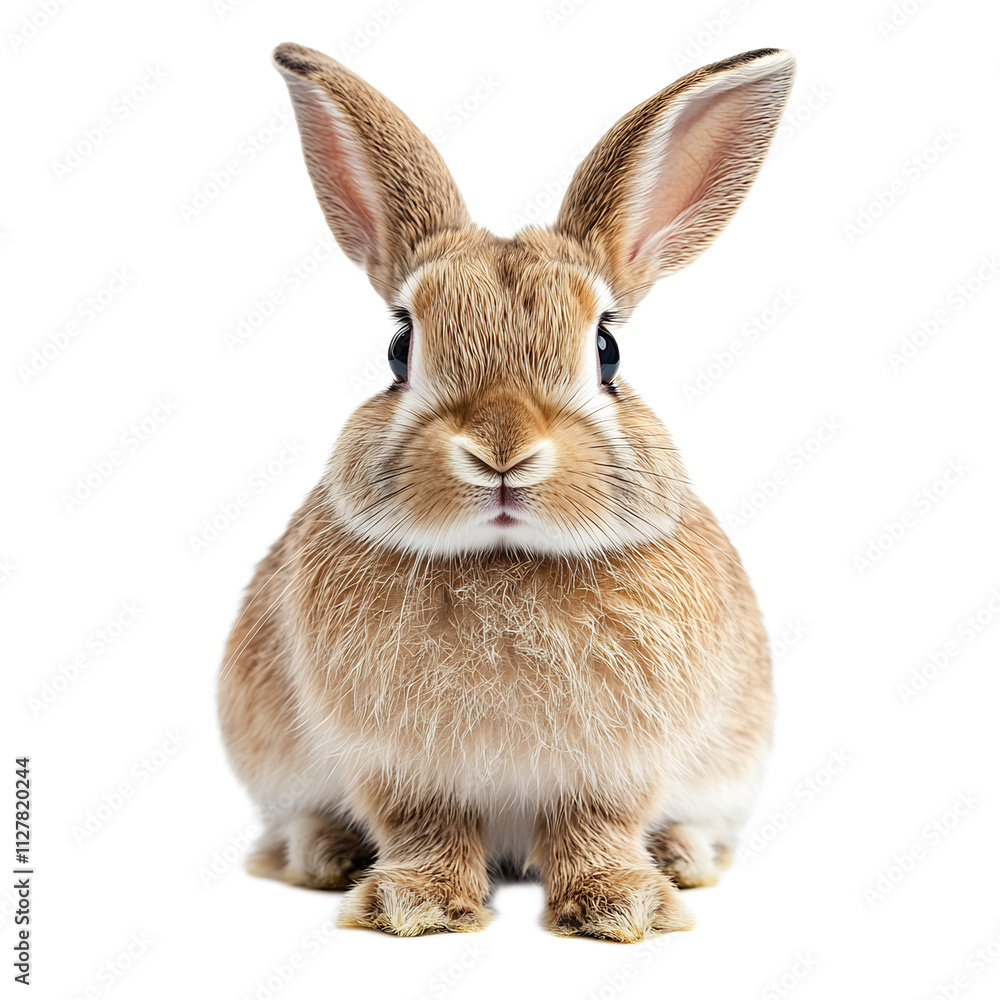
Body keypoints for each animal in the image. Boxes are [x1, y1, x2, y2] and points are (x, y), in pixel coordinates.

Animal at [218, 41, 795, 942]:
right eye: (399, 348)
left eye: (607, 351)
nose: (501, 451)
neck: (504, 559)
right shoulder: (402, 766)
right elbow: (424, 826)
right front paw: (414, 906)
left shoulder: (613, 767)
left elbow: (599, 825)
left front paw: (621, 907)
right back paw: (322, 854)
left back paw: (684, 856)